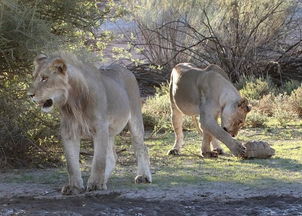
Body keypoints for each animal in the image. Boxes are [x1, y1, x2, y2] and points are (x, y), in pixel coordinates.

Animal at [27, 52, 152, 194]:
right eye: (34, 77)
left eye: (44, 78)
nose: (29, 95)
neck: (73, 102)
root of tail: (127, 70)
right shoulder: (69, 131)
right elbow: (71, 164)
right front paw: (74, 187)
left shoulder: (100, 128)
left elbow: (98, 161)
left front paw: (96, 184)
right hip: (110, 132)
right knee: (112, 157)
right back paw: (104, 179)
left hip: (135, 118)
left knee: (141, 148)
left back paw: (143, 176)